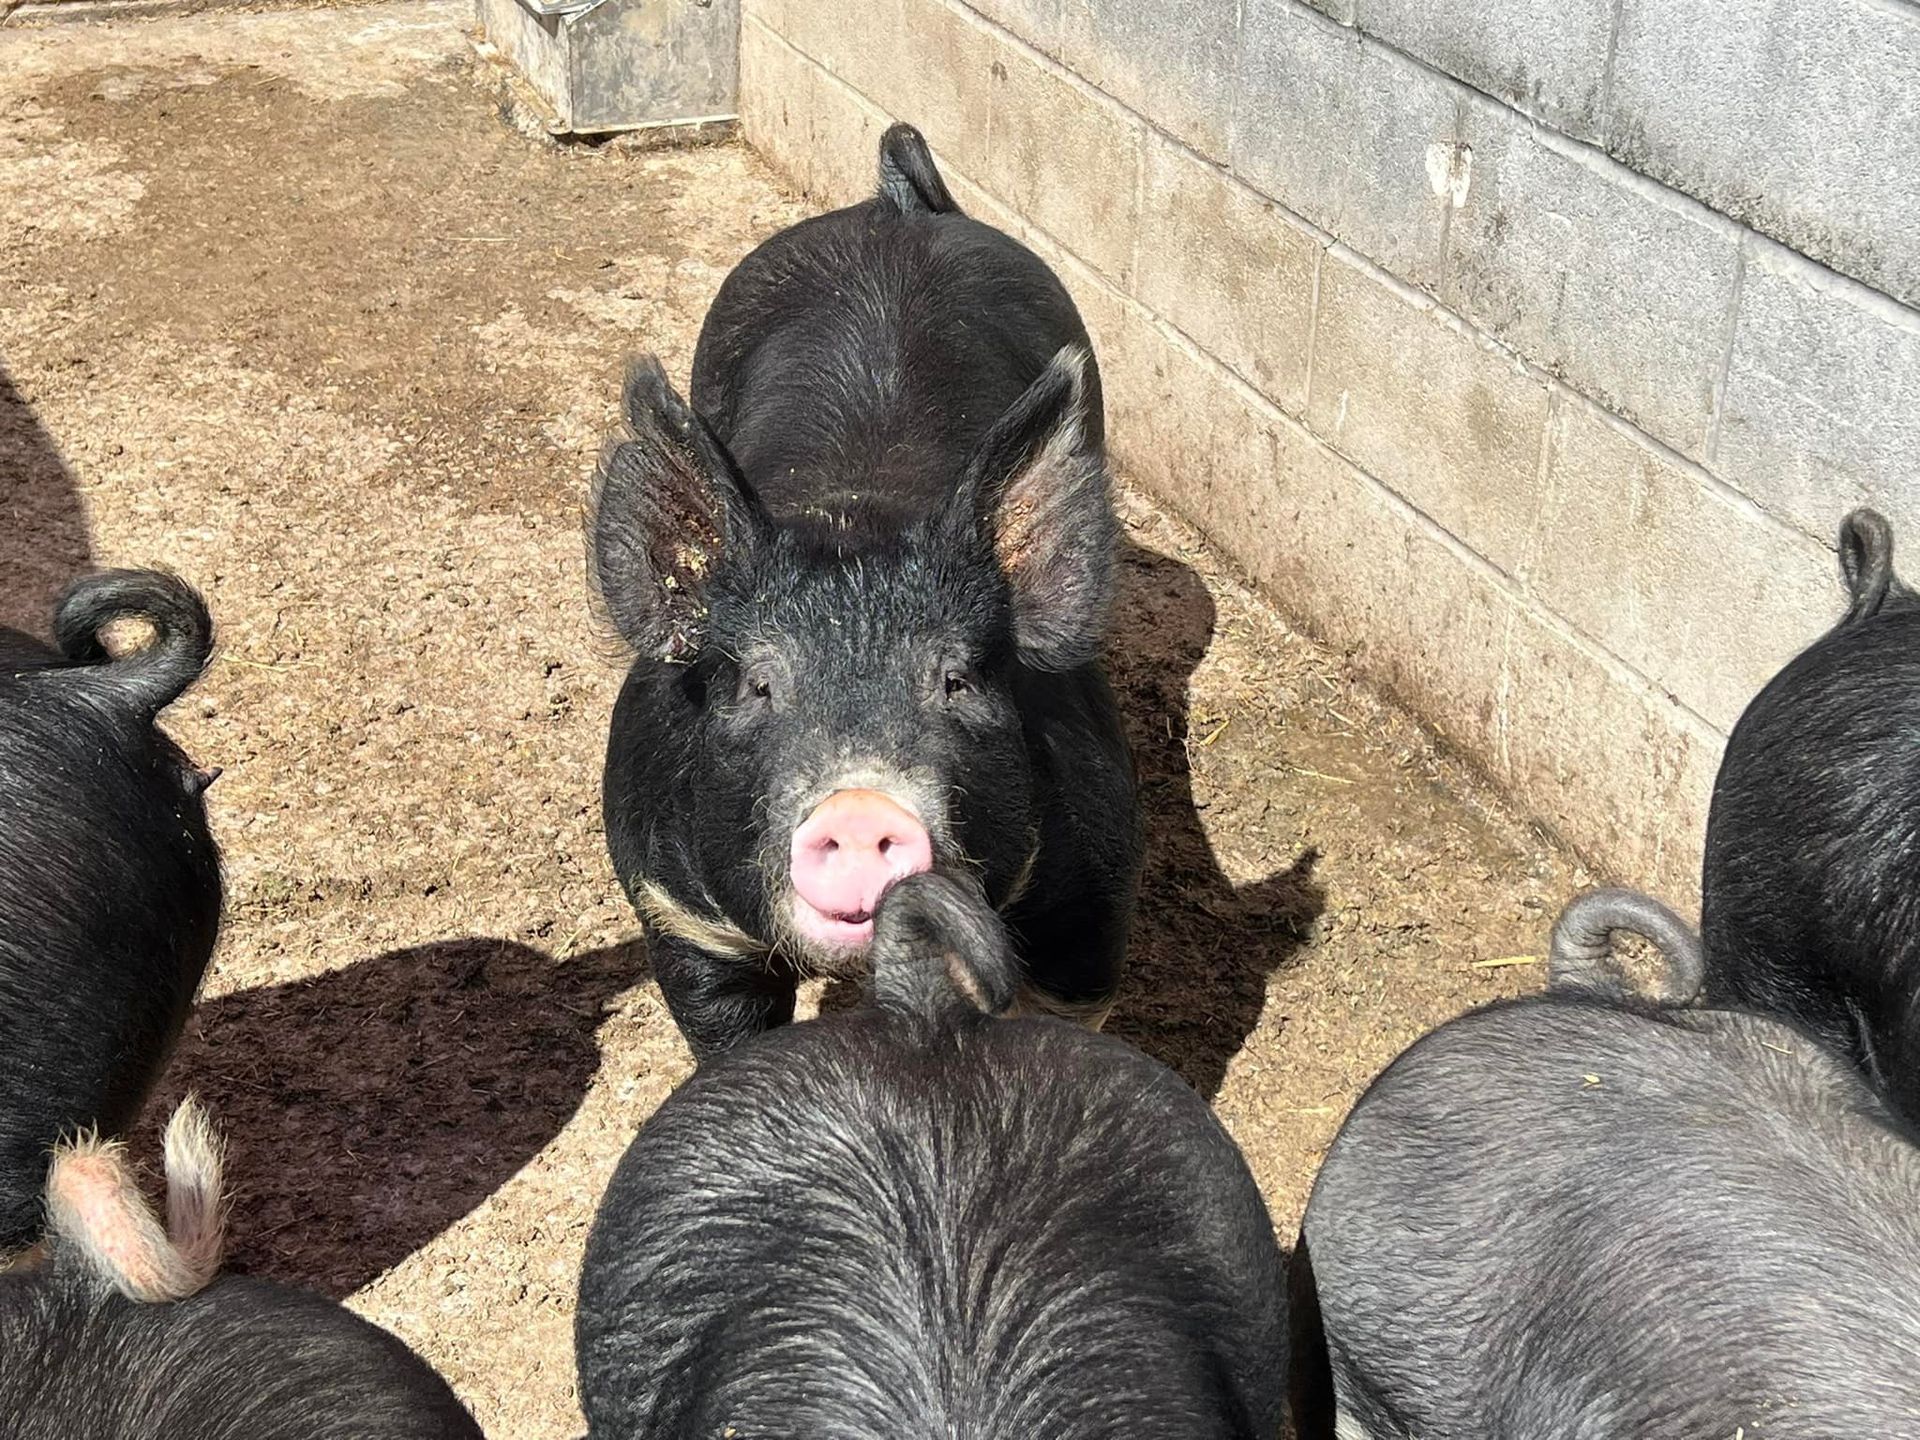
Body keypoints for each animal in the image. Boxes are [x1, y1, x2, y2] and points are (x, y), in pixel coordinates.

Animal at [590, 122, 1141, 1058]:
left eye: (958, 681)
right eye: (756, 685)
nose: (856, 804)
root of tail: (897, 207)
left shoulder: (1089, 908)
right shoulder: (678, 911)